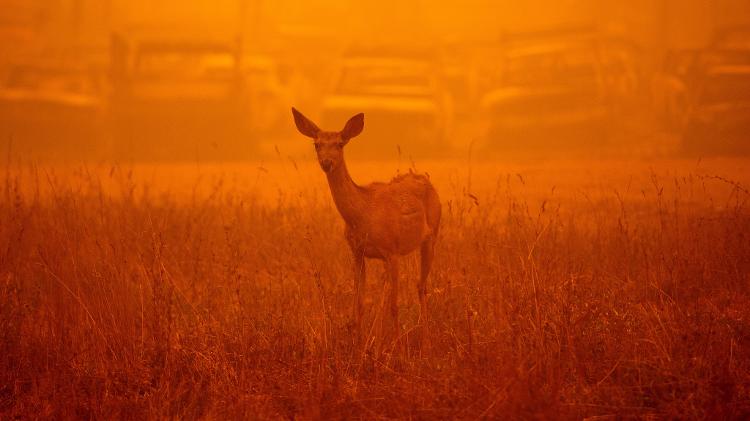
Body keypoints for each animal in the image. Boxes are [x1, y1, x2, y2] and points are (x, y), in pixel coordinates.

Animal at [290, 106, 440, 344]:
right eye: (317, 144)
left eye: (340, 144)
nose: (327, 163)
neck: (362, 215)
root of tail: (426, 180)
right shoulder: (358, 252)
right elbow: (360, 304)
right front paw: (359, 345)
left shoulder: (392, 251)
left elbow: (394, 306)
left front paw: (397, 348)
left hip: (432, 235)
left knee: (420, 286)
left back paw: (425, 343)